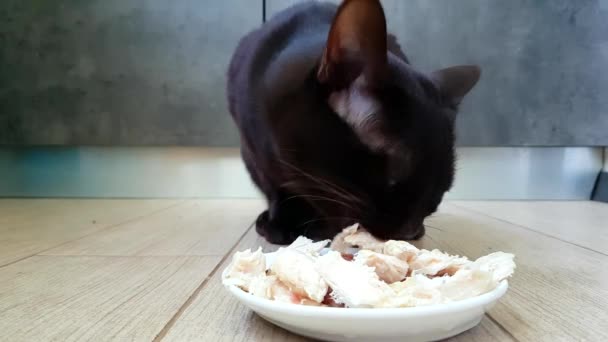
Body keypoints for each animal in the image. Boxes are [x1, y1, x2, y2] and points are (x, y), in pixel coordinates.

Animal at [227, 1, 480, 244]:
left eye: (444, 188)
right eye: (395, 175)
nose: (410, 229)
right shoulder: (254, 148)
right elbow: (275, 186)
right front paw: (283, 222)